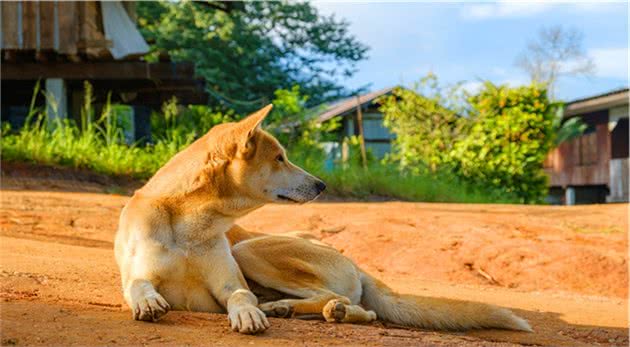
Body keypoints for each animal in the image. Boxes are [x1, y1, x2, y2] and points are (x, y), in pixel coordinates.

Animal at [115, 104, 532, 334]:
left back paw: (290, 308)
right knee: (360, 309)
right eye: (279, 158)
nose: (322, 184)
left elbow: (241, 297)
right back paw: (308, 311)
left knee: (343, 300)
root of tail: (358, 265)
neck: (189, 223)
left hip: (250, 249)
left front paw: (249, 313)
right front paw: (147, 304)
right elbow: (139, 286)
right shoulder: (139, 274)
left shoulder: (230, 282)